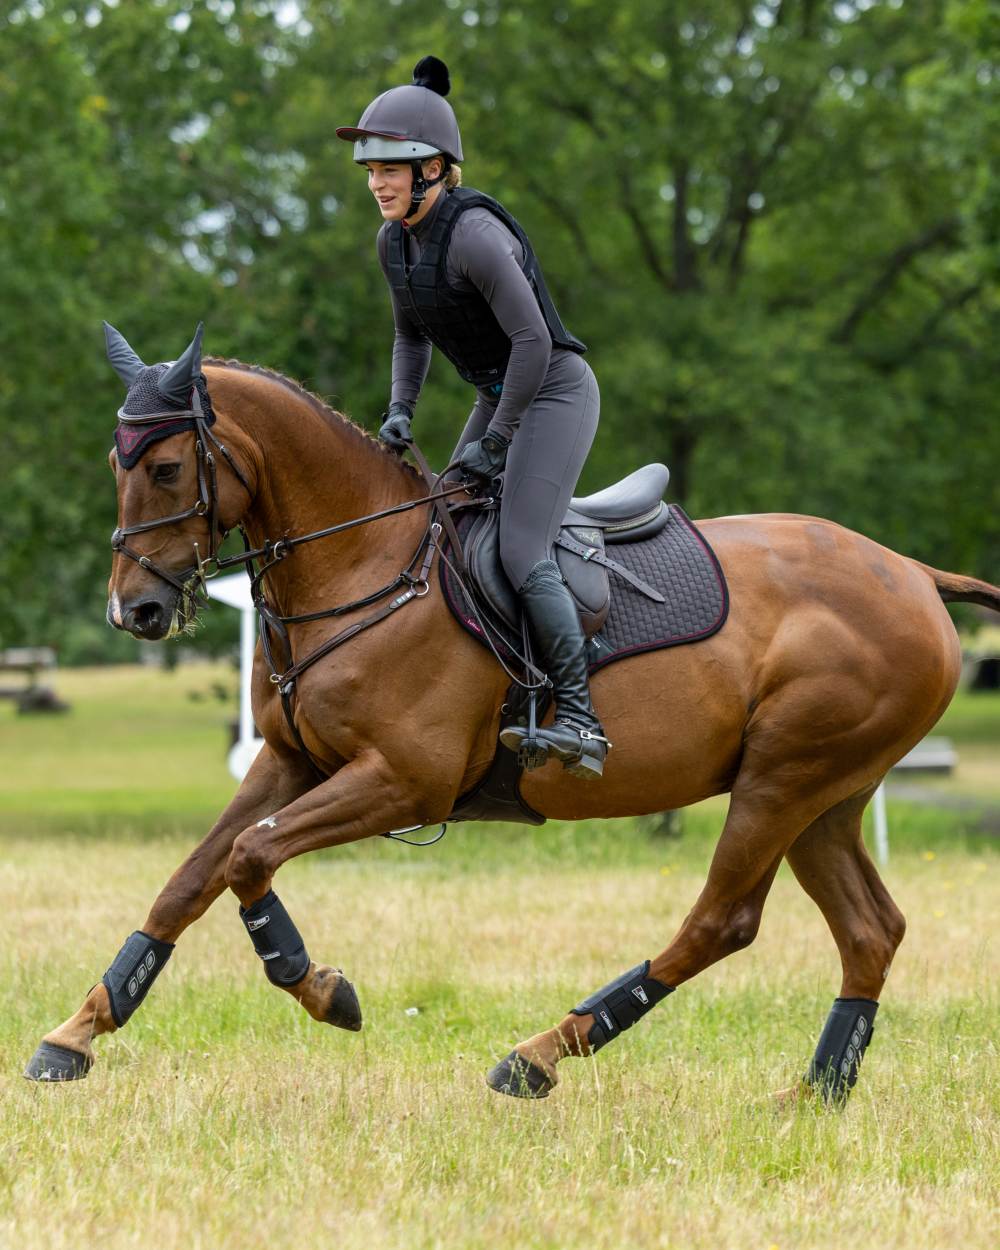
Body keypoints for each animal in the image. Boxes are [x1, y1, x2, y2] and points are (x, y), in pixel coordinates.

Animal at [25, 345, 1000, 1105]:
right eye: (115, 465)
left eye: (163, 469)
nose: (135, 612)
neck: (364, 562)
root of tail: (913, 572)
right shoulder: (291, 761)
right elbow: (191, 878)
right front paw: (77, 1031)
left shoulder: (403, 781)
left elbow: (248, 857)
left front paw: (321, 987)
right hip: (825, 797)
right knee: (870, 930)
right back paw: (817, 1093)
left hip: (781, 781)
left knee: (722, 922)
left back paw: (539, 1057)